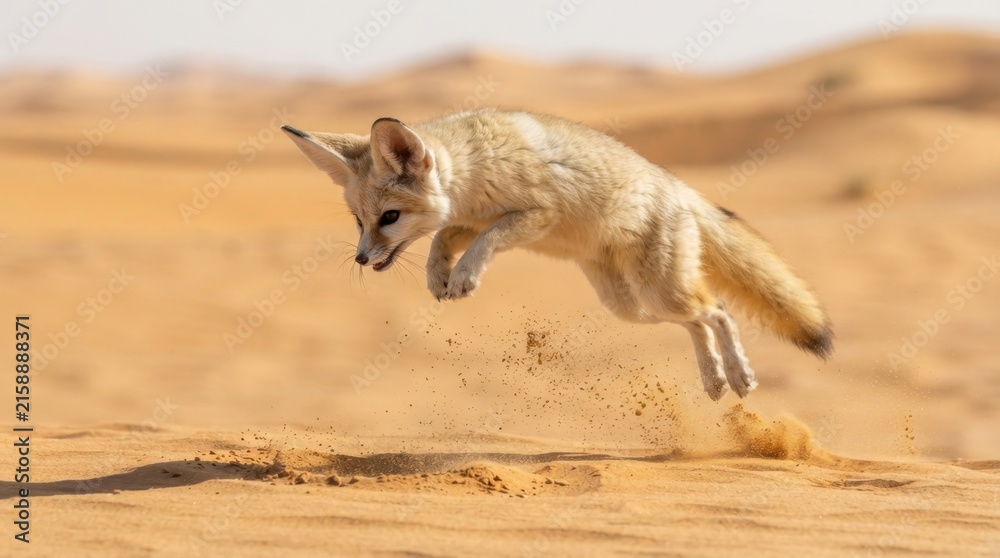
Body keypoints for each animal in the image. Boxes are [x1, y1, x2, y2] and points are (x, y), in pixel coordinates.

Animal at [282, 109, 832, 400]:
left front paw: (464, 276)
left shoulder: (532, 215)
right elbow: (442, 239)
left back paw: (736, 375)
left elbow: (484, 242)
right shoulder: (466, 218)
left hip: (658, 291)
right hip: (631, 306)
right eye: (360, 222)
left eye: (390, 217)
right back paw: (715, 379)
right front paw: (439, 275)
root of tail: (678, 187)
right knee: (699, 321)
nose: (360, 258)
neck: (475, 167)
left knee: (716, 311)